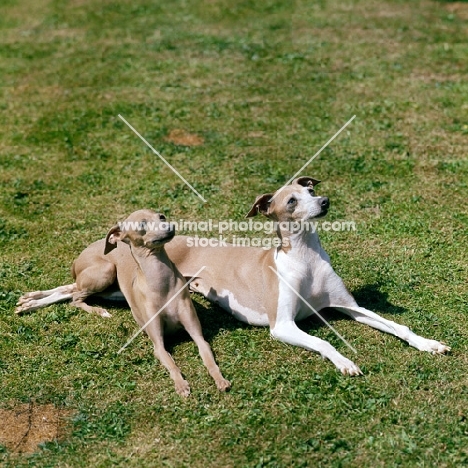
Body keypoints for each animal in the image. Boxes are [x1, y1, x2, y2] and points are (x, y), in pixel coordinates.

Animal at [17, 179, 450, 376]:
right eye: (291, 201)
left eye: (310, 190)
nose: (325, 202)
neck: (304, 258)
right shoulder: (283, 325)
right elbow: (324, 342)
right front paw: (345, 362)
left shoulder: (348, 307)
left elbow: (397, 325)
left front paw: (429, 344)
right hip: (109, 275)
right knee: (73, 288)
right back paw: (31, 301)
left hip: (118, 290)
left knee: (69, 289)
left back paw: (30, 300)